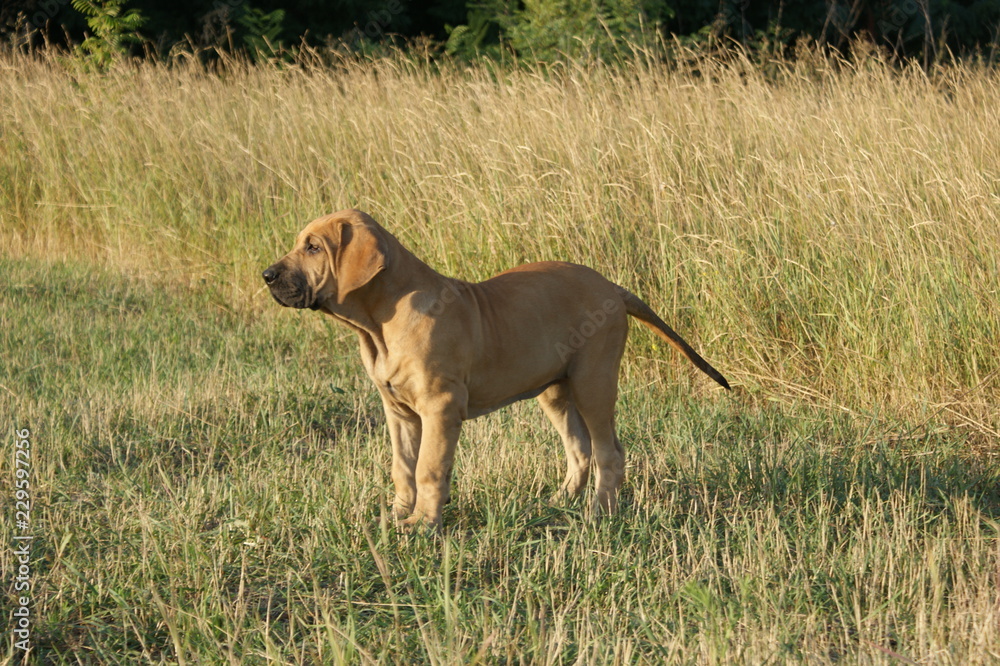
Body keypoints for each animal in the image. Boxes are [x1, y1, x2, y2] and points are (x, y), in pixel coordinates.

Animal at [262, 210, 728, 528]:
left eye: (313, 247)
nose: (267, 274)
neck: (379, 325)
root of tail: (612, 287)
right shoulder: (399, 413)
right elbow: (403, 468)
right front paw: (396, 516)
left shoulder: (440, 408)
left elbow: (429, 468)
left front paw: (423, 524)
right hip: (555, 391)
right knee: (579, 448)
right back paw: (559, 501)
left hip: (593, 382)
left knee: (608, 452)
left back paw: (599, 514)